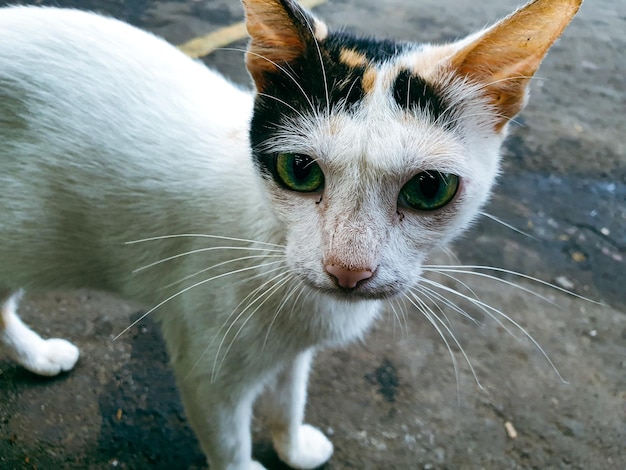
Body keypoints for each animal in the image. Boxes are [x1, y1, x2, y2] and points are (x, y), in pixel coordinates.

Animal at [0, 0, 580, 468]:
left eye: (429, 187)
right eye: (299, 171)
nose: (348, 270)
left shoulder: (292, 350)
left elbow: (288, 397)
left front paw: (293, 447)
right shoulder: (206, 371)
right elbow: (229, 445)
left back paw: (36, 356)